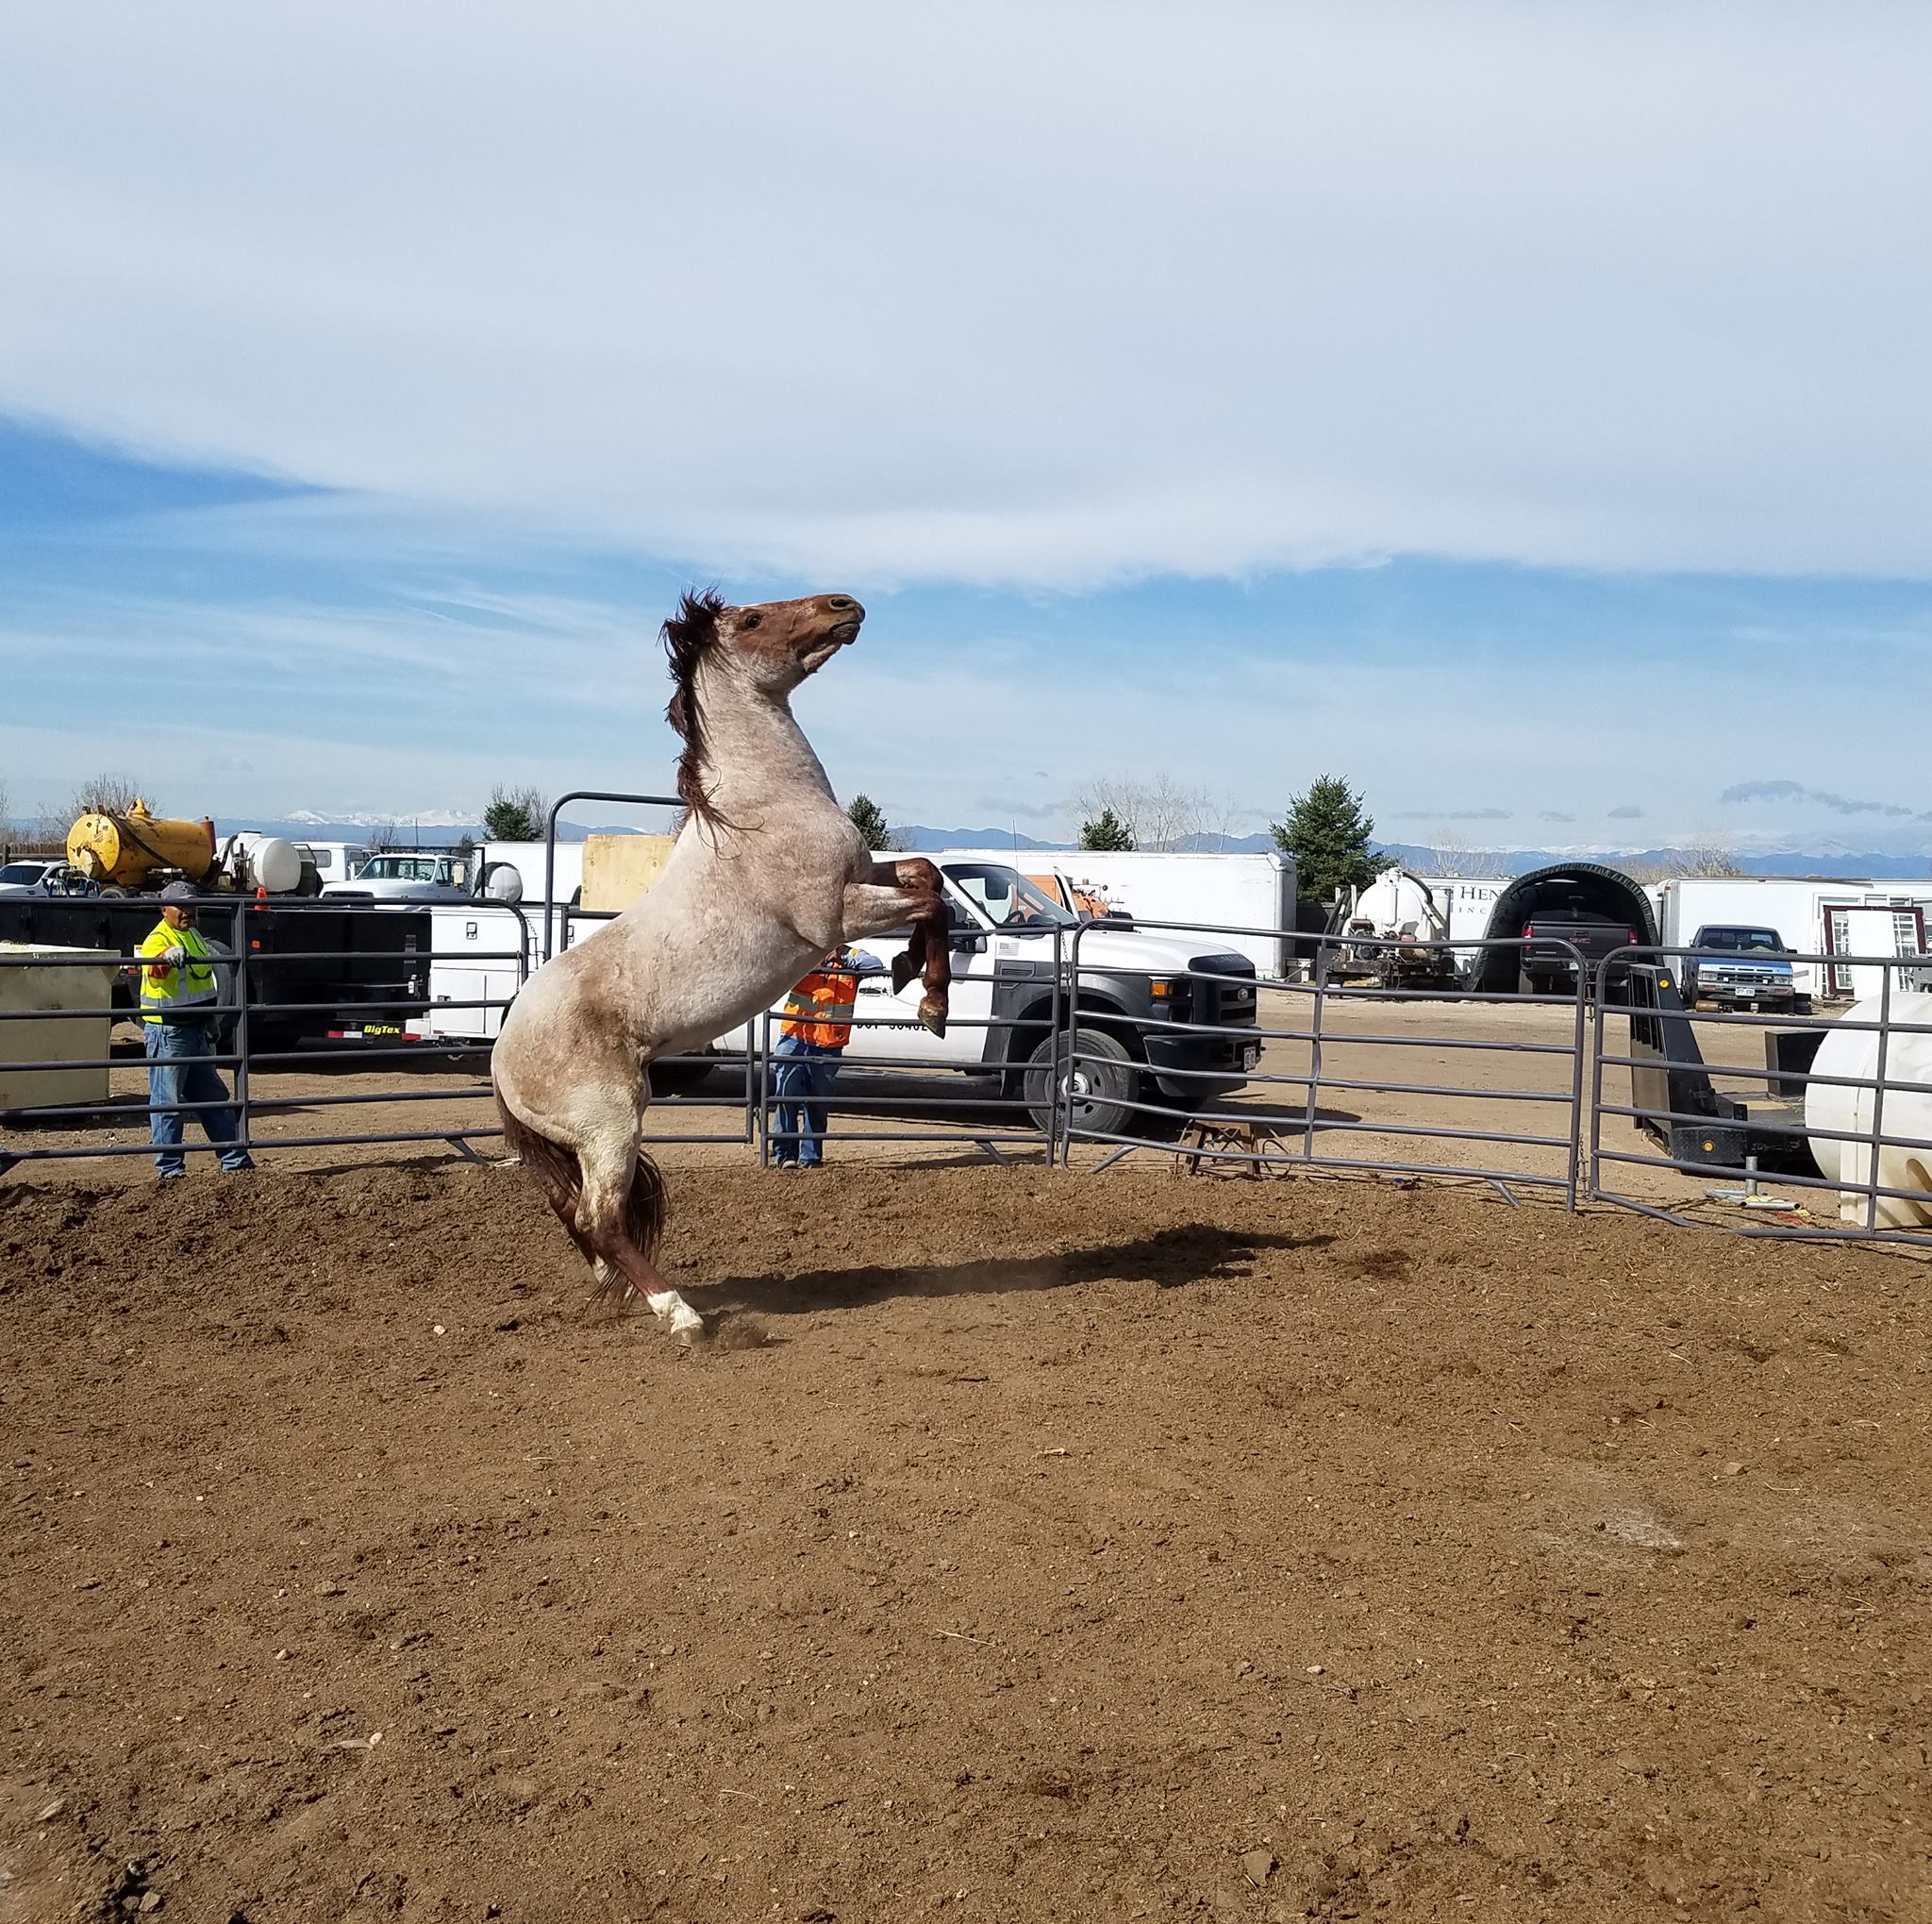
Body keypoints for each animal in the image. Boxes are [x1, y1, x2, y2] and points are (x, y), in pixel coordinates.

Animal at [491, 589, 950, 1339]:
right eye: (754, 619)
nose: (845, 604)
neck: (763, 801)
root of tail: (501, 1055)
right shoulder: (834, 915)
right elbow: (931, 899)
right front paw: (931, 992)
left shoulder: (864, 874)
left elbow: (928, 875)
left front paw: (920, 978)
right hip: (611, 1124)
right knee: (601, 1217)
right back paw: (681, 1314)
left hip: (585, 1139)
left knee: (574, 1214)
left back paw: (613, 1286)